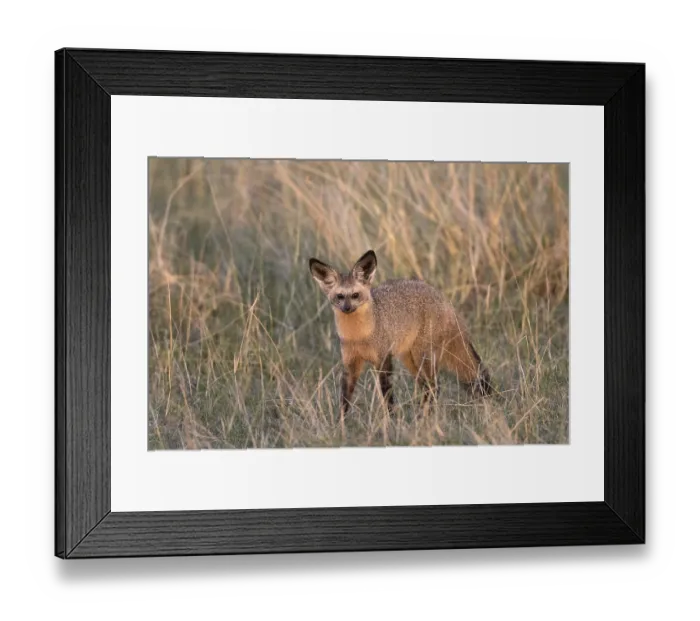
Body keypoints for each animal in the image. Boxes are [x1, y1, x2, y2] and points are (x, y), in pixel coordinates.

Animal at [309, 250, 493, 415]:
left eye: (355, 295)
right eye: (340, 296)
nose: (347, 308)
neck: (359, 337)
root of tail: (444, 299)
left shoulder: (383, 360)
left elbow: (387, 397)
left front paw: (392, 422)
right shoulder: (350, 363)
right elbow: (344, 399)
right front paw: (342, 424)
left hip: (422, 357)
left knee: (435, 386)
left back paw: (423, 417)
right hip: (410, 359)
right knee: (427, 387)